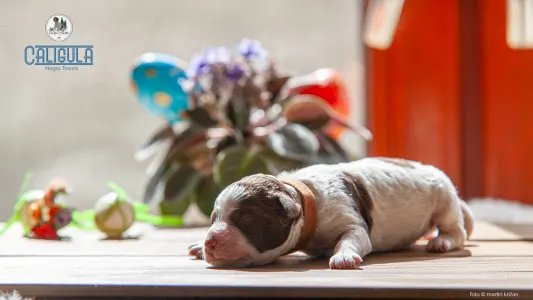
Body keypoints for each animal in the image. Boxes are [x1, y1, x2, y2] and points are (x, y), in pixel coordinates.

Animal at [187, 157, 474, 270]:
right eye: (214, 219)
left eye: (245, 219)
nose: (210, 242)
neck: (306, 200)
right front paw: (198, 245)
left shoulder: (350, 221)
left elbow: (352, 237)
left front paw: (343, 256)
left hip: (444, 199)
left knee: (456, 230)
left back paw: (441, 241)